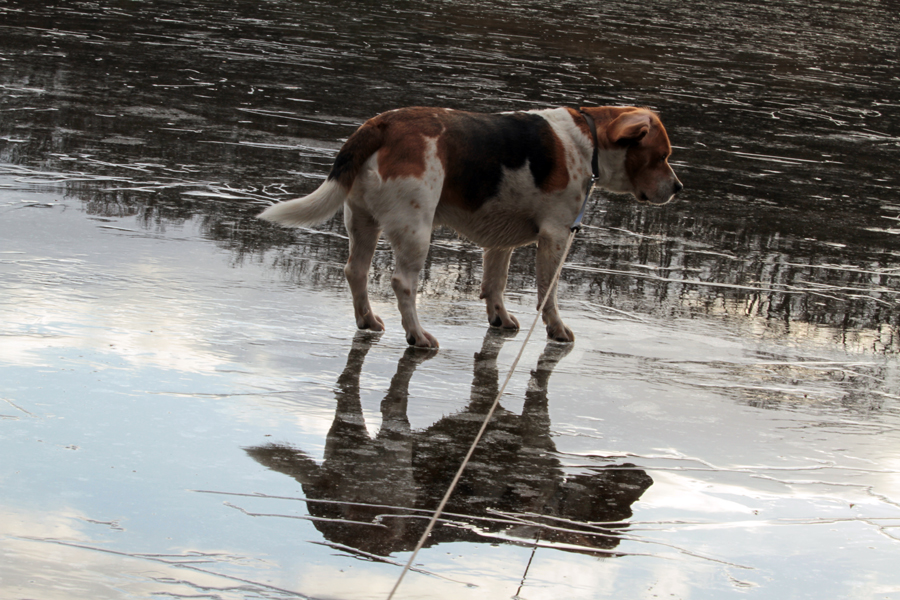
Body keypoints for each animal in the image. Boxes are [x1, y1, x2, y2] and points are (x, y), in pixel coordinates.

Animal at [256, 104, 680, 346]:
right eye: (661, 156)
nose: (678, 188)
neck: (587, 140)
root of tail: (382, 123)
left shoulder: (501, 241)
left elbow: (495, 284)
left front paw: (500, 319)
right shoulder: (557, 236)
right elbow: (548, 295)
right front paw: (557, 330)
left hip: (363, 221)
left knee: (355, 271)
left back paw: (367, 321)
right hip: (416, 229)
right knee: (402, 283)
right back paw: (417, 335)